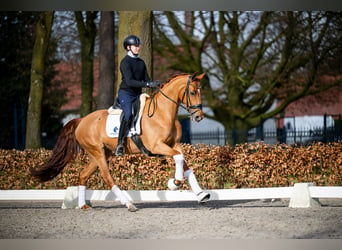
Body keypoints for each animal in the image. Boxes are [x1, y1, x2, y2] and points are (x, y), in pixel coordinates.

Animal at [30, 72, 210, 211]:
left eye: (201, 91)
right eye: (192, 92)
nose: (199, 117)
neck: (162, 113)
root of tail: (81, 121)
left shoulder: (173, 145)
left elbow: (184, 162)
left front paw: (201, 194)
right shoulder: (157, 146)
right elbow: (178, 158)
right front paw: (175, 182)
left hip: (101, 154)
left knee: (83, 175)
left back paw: (83, 206)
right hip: (98, 152)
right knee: (107, 177)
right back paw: (129, 204)